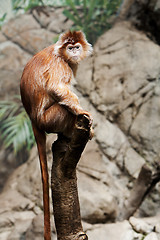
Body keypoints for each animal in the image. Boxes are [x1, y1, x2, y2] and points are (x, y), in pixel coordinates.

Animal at [19, 30, 93, 240]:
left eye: (76, 46)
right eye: (70, 47)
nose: (74, 51)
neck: (61, 53)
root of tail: (33, 118)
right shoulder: (61, 65)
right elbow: (57, 88)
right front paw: (84, 114)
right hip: (50, 119)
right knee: (65, 109)